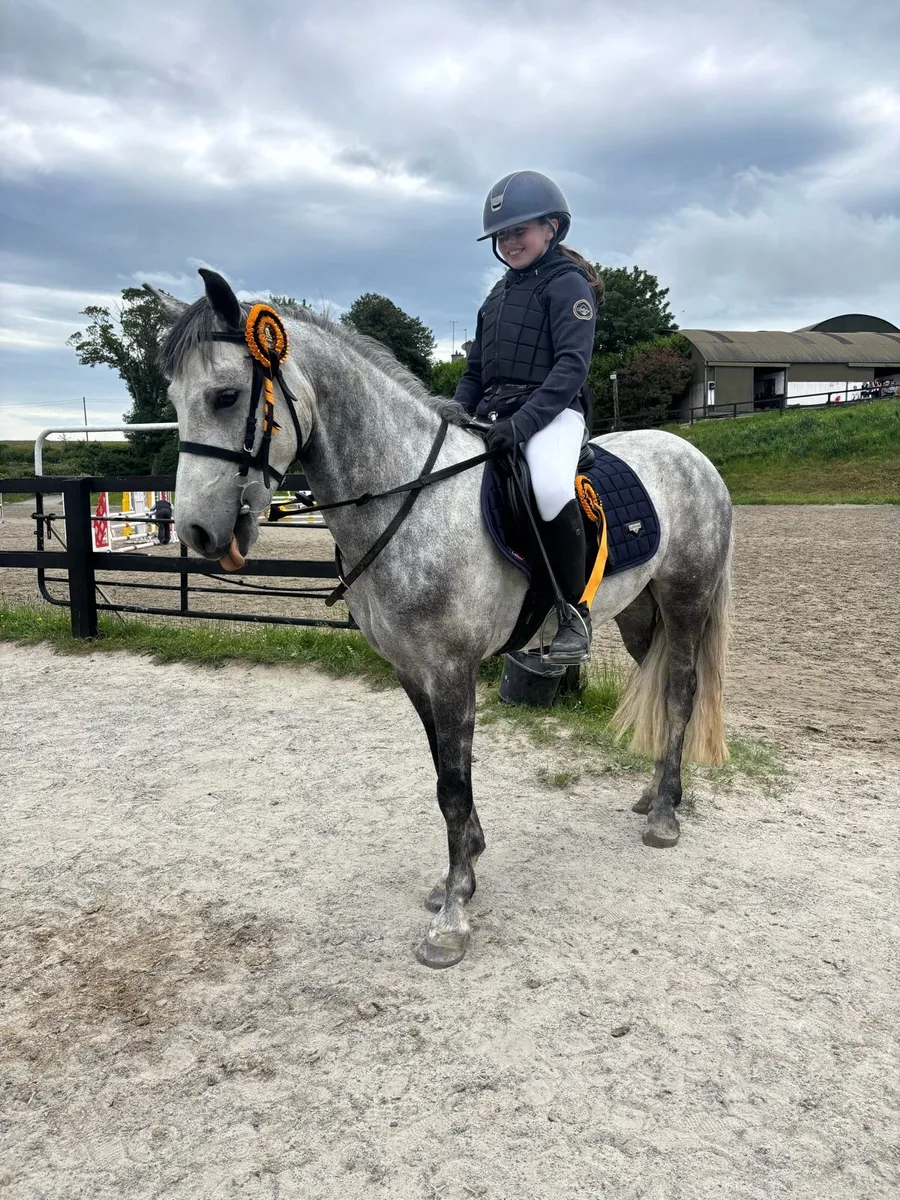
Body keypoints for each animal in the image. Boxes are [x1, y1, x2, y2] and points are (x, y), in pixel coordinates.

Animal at [146, 269, 733, 970]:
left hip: (686, 599)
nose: (198, 532)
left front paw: (453, 919)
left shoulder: (452, 669)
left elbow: (453, 784)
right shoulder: (412, 668)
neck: (407, 495)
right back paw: (652, 793)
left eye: (227, 395)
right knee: (659, 685)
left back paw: (666, 816)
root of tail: (690, 453)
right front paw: (464, 872)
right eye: (175, 398)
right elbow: (443, 775)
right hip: (642, 614)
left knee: (681, 690)